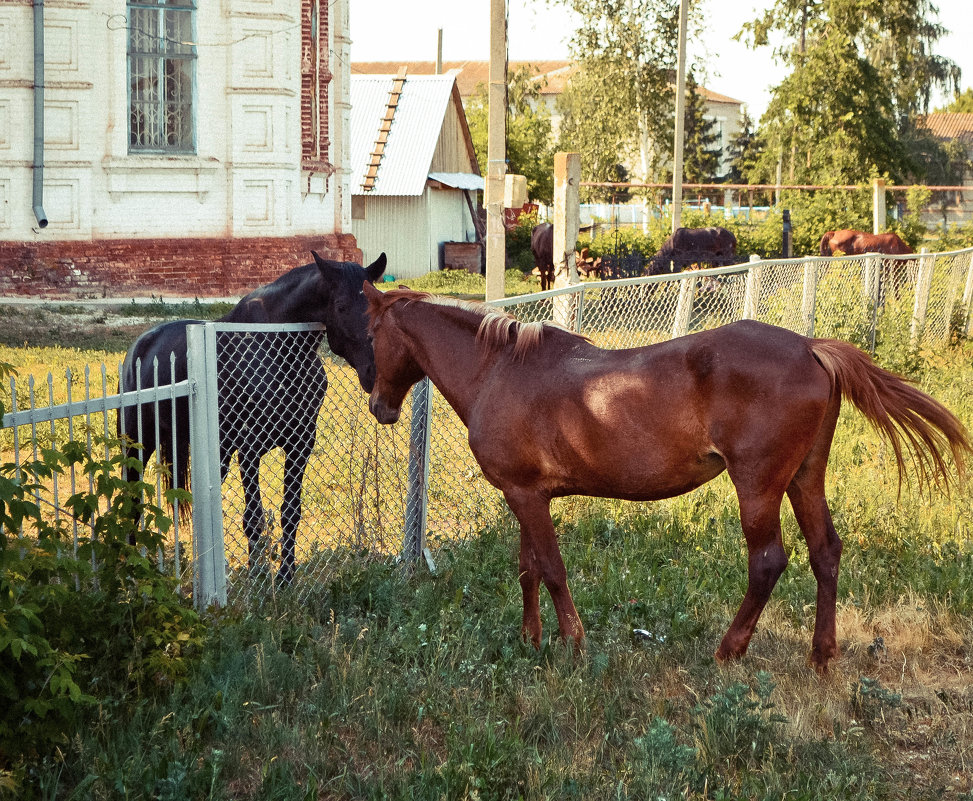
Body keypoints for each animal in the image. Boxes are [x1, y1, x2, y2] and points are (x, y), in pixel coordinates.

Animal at [117, 250, 384, 580]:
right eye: (342, 306)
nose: (375, 373)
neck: (278, 348)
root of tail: (140, 347)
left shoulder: (299, 445)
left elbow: (290, 512)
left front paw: (285, 576)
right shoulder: (249, 449)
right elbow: (253, 518)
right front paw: (258, 576)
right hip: (137, 444)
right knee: (131, 497)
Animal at [360, 284, 968, 672]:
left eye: (370, 333)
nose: (379, 407)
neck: (500, 370)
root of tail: (811, 347)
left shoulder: (527, 497)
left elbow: (552, 570)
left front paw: (574, 646)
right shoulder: (525, 495)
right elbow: (528, 569)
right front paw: (532, 642)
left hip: (759, 486)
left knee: (768, 562)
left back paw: (728, 651)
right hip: (804, 479)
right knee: (826, 552)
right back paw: (821, 655)